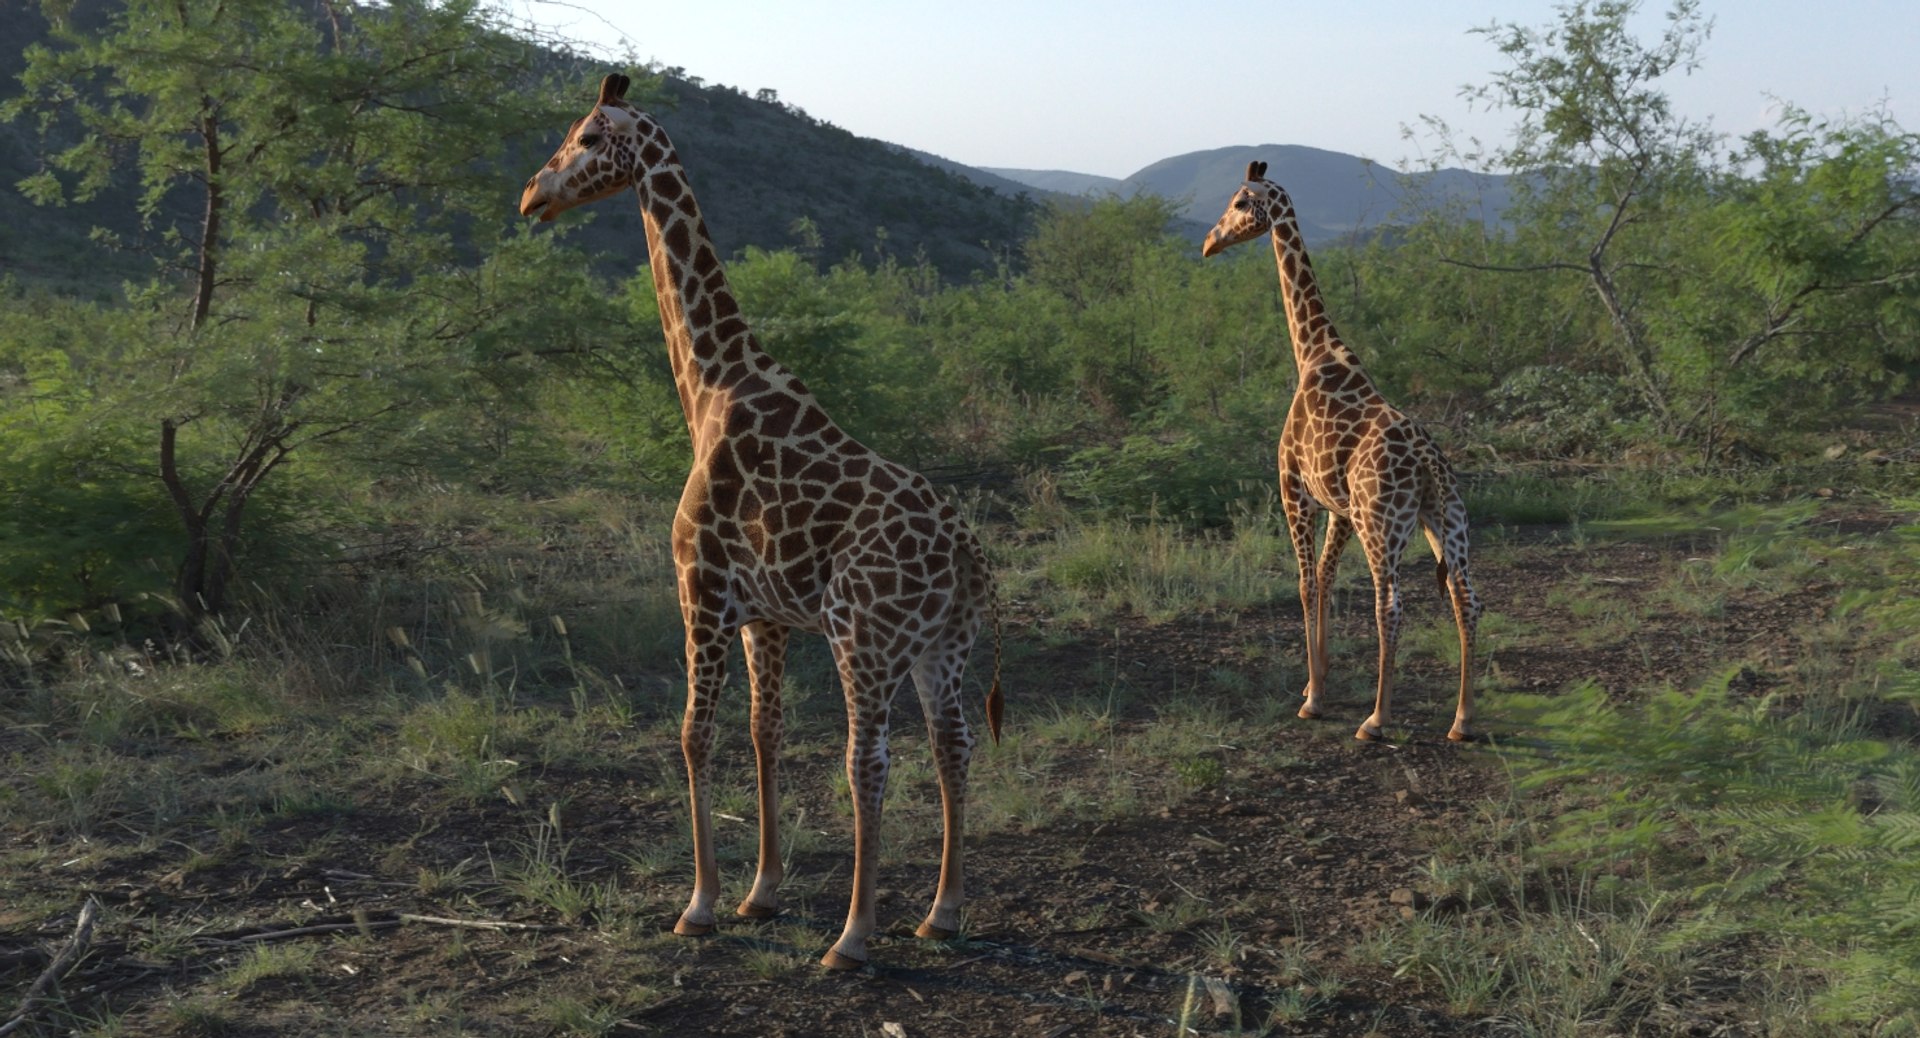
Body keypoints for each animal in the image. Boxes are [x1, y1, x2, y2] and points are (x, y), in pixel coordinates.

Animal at [519, 73, 1004, 970]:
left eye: (587, 137)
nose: (534, 195)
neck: (710, 384)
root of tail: (968, 554)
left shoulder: (701, 591)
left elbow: (692, 735)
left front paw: (700, 902)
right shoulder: (766, 617)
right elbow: (762, 732)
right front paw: (762, 892)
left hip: (863, 637)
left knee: (867, 760)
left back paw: (854, 936)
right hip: (941, 645)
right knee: (951, 743)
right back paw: (942, 912)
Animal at [1202, 161, 1481, 743]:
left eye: (1240, 202)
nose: (1209, 243)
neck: (1311, 352)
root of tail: (1428, 465)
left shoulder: (1293, 489)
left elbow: (1306, 583)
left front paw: (1313, 699)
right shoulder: (1340, 509)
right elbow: (1327, 579)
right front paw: (1318, 681)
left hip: (1384, 525)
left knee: (1389, 605)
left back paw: (1376, 719)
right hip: (1446, 519)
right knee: (1466, 597)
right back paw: (1463, 720)